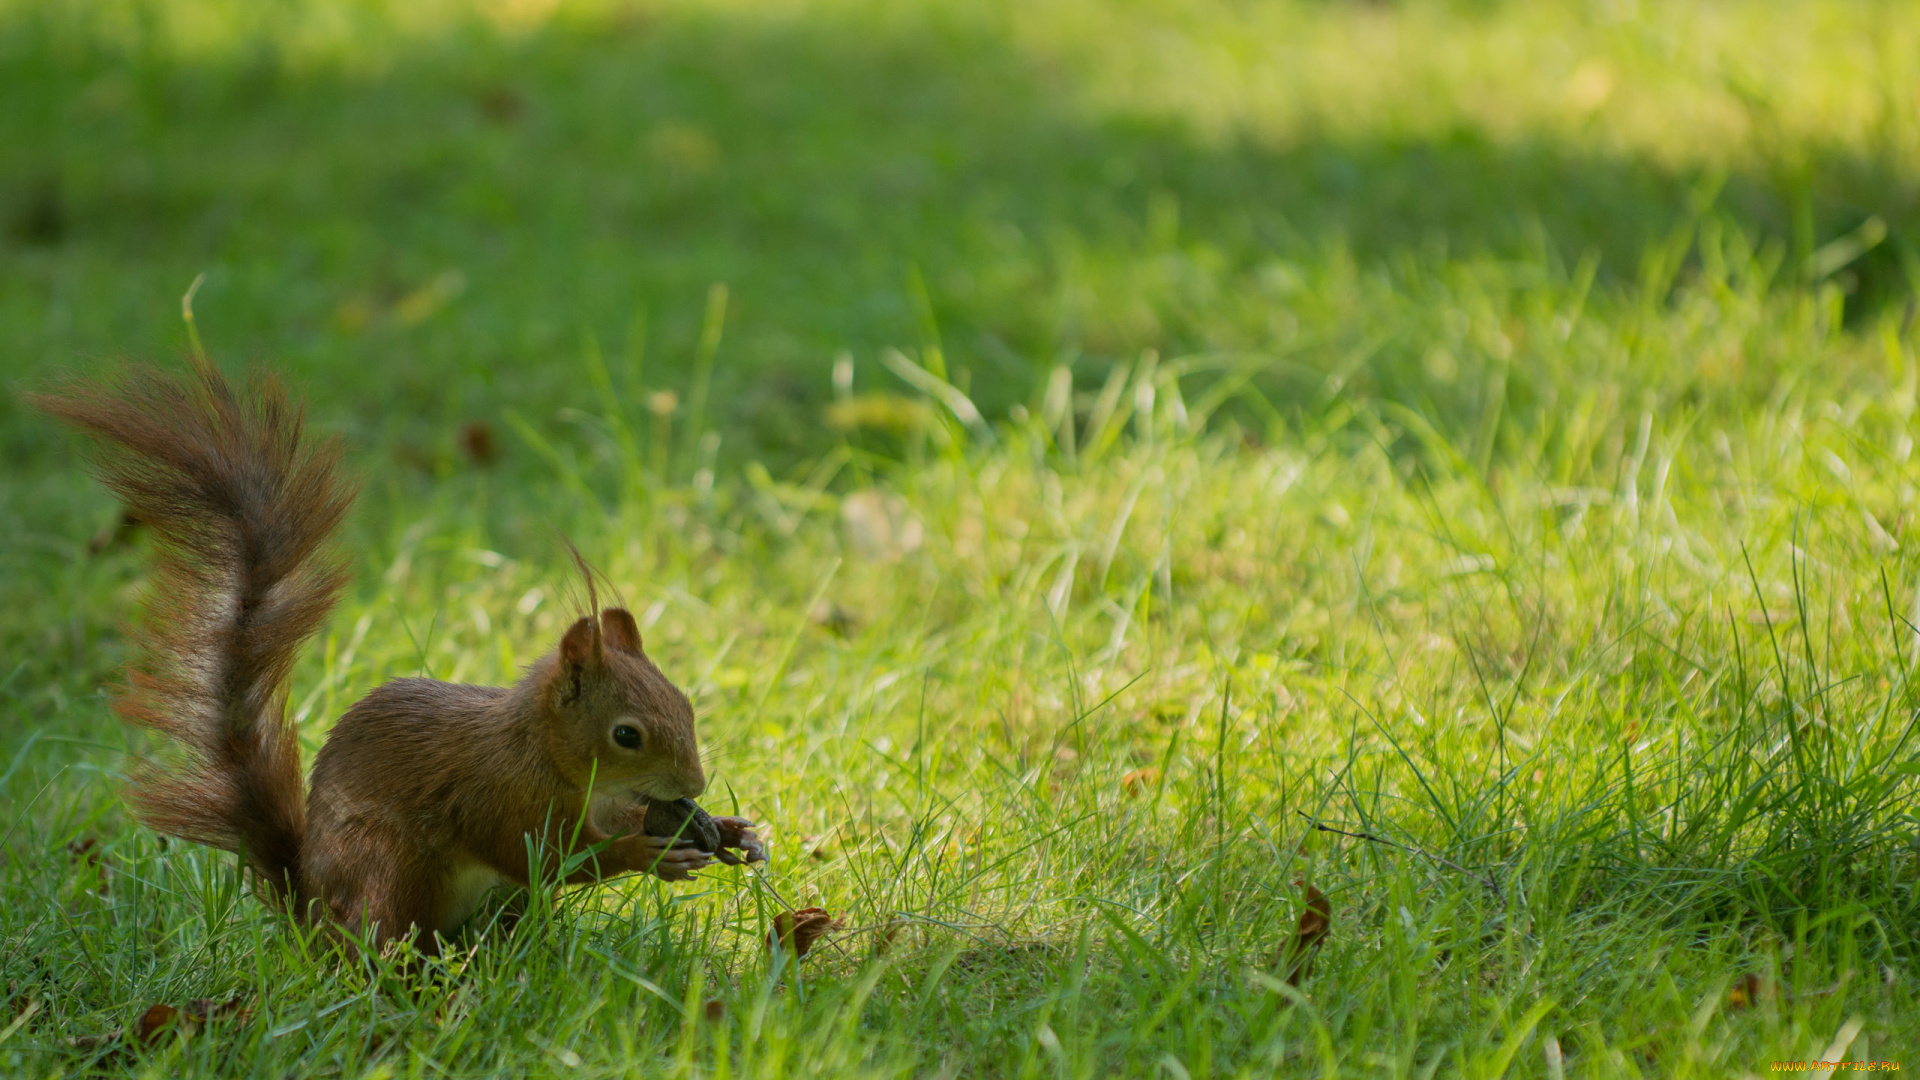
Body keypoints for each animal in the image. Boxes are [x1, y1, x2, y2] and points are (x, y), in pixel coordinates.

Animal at [30, 359, 764, 949]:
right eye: (626, 735)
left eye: (686, 705)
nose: (696, 784)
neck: (546, 753)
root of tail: (311, 911)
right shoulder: (496, 794)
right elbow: (544, 857)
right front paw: (651, 852)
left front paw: (727, 828)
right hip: (393, 867)